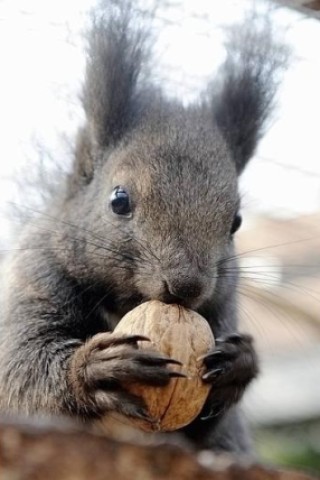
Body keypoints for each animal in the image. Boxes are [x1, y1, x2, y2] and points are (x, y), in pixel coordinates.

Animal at [0, 0, 288, 456]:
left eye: (236, 222)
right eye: (118, 200)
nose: (186, 286)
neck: (126, 302)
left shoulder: (223, 308)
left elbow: (202, 429)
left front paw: (239, 364)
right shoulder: (34, 278)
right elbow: (20, 373)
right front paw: (97, 369)